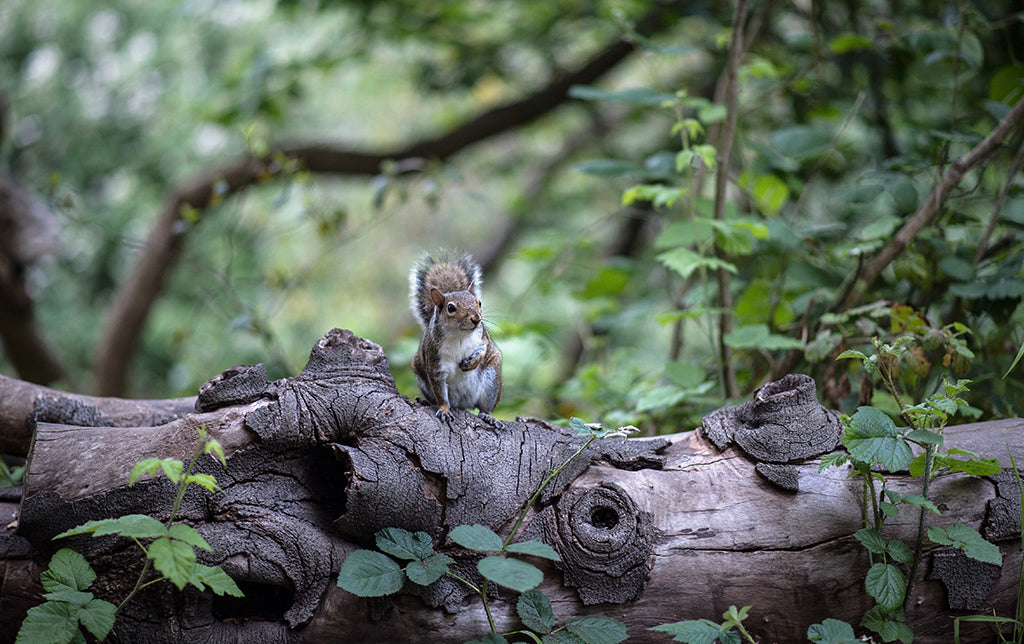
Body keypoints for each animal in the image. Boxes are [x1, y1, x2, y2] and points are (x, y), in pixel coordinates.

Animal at [409, 250, 501, 421]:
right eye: (450, 308)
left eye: (479, 302)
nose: (476, 319)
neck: (459, 335)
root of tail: (464, 404)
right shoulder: (434, 363)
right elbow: (441, 394)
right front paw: (444, 410)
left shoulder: (482, 337)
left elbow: (484, 348)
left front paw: (470, 363)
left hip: (492, 379)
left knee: (487, 406)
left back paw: (488, 416)